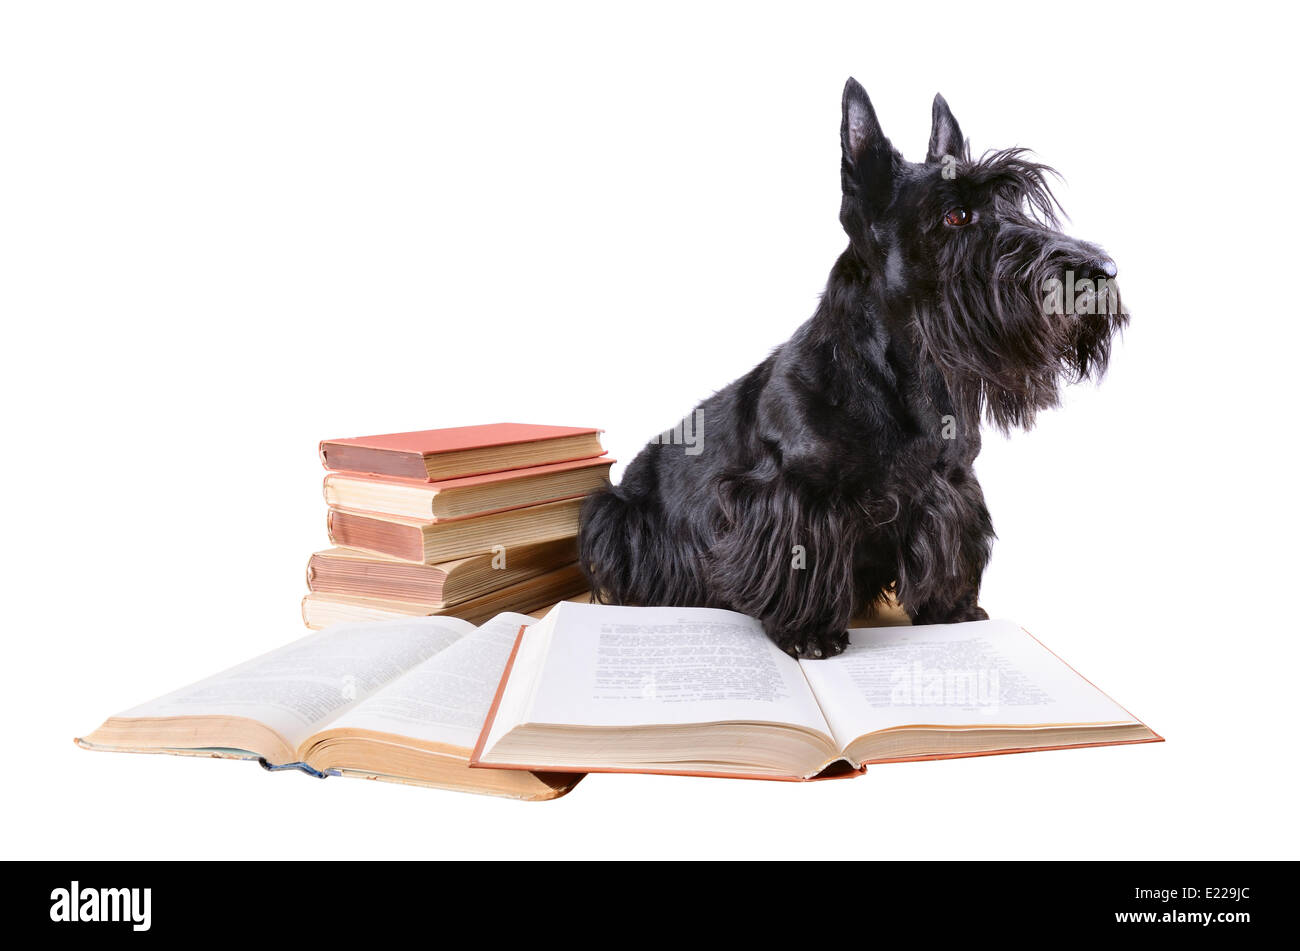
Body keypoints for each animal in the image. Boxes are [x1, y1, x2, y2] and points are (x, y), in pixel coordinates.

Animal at [579, 77, 1128, 657]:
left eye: (1015, 205)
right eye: (956, 215)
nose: (1101, 272)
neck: (909, 378)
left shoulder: (954, 486)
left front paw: (953, 612)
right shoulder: (798, 495)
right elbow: (803, 561)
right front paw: (809, 631)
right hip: (619, 517)